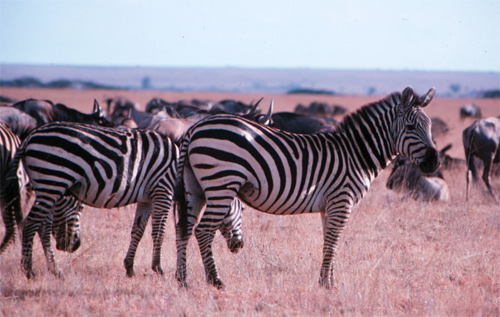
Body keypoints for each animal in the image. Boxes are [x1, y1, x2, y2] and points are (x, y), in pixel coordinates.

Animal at [174, 85, 440, 288]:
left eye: (429, 127)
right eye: (410, 127)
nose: (434, 162)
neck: (355, 154)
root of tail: (194, 128)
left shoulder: (330, 206)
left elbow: (329, 242)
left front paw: (330, 282)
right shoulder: (342, 201)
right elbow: (332, 242)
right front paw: (326, 285)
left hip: (194, 187)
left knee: (183, 229)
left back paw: (183, 281)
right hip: (221, 184)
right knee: (203, 231)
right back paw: (215, 281)